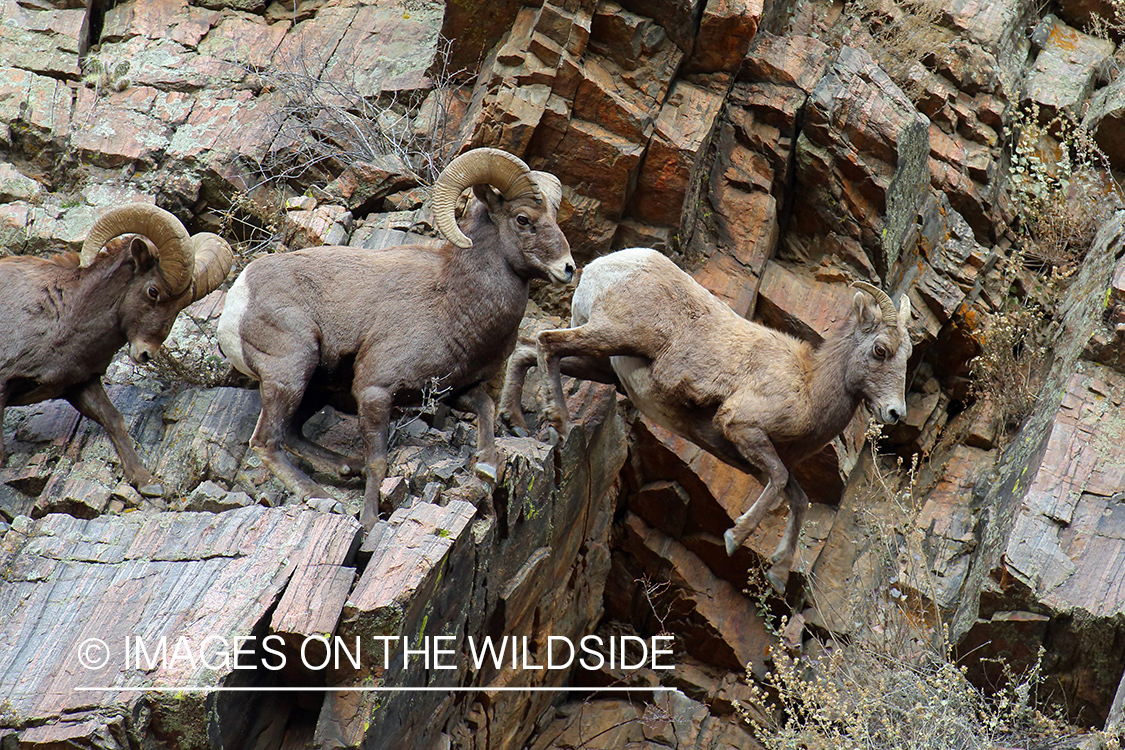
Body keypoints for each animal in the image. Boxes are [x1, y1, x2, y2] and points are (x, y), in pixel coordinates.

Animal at [0, 202, 234, 494]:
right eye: (153, 291)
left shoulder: (80, 384)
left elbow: (113, 419)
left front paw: (145, 481)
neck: (61, 315)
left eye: (182, 305)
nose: (145, 353)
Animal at [214, 148, 576, 532]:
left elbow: (486, 406)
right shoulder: (375, 391)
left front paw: (487, 464)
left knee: (294, 432)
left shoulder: (450, 389)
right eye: (523, 219)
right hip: (292, 372)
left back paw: (347, 468)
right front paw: (371, 521)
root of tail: (239, 296)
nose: (568, 268)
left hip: (319, 384)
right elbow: (379, 460)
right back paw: (324, 498)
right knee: (268, 441)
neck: (454, 301)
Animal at [504, 249, 913, 589]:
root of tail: (604, 266)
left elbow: (798, 499)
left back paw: (517, 422)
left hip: (603, 364)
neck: (808, 387)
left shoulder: (751, 459)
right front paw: (735, 538)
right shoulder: (741, 428)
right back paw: (556, 424)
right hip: (611, 335)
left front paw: (779, 574)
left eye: (906, 357)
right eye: (880, 350)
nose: (895, 413)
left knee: (527, 351)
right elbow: (782, 481)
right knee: (546, 341)